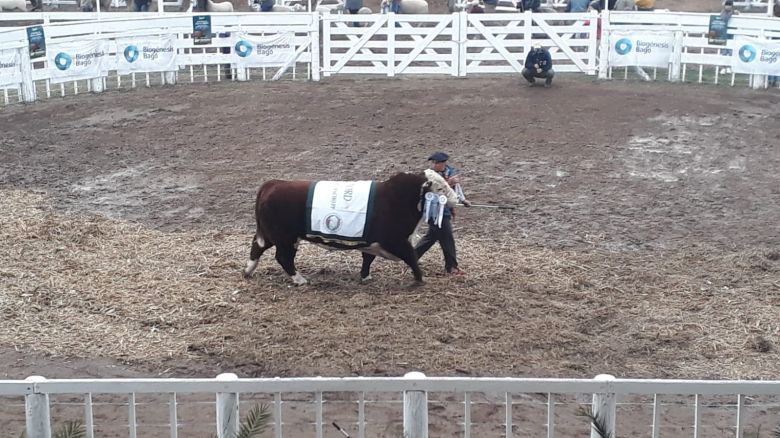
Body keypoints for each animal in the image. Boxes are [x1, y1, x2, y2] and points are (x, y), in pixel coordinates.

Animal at [241, 169, 454, 286]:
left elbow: (368, 258)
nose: (456, 199)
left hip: (273, 235)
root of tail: (273, 184)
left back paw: (247, 271)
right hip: (286, 238)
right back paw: (300, 280)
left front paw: (365, 277)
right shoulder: (396, 241)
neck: (401, 198)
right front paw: (420, 279)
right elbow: (412, 257)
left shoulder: (372, 241)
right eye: (440, 188)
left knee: (257, 247)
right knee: (284, 258)